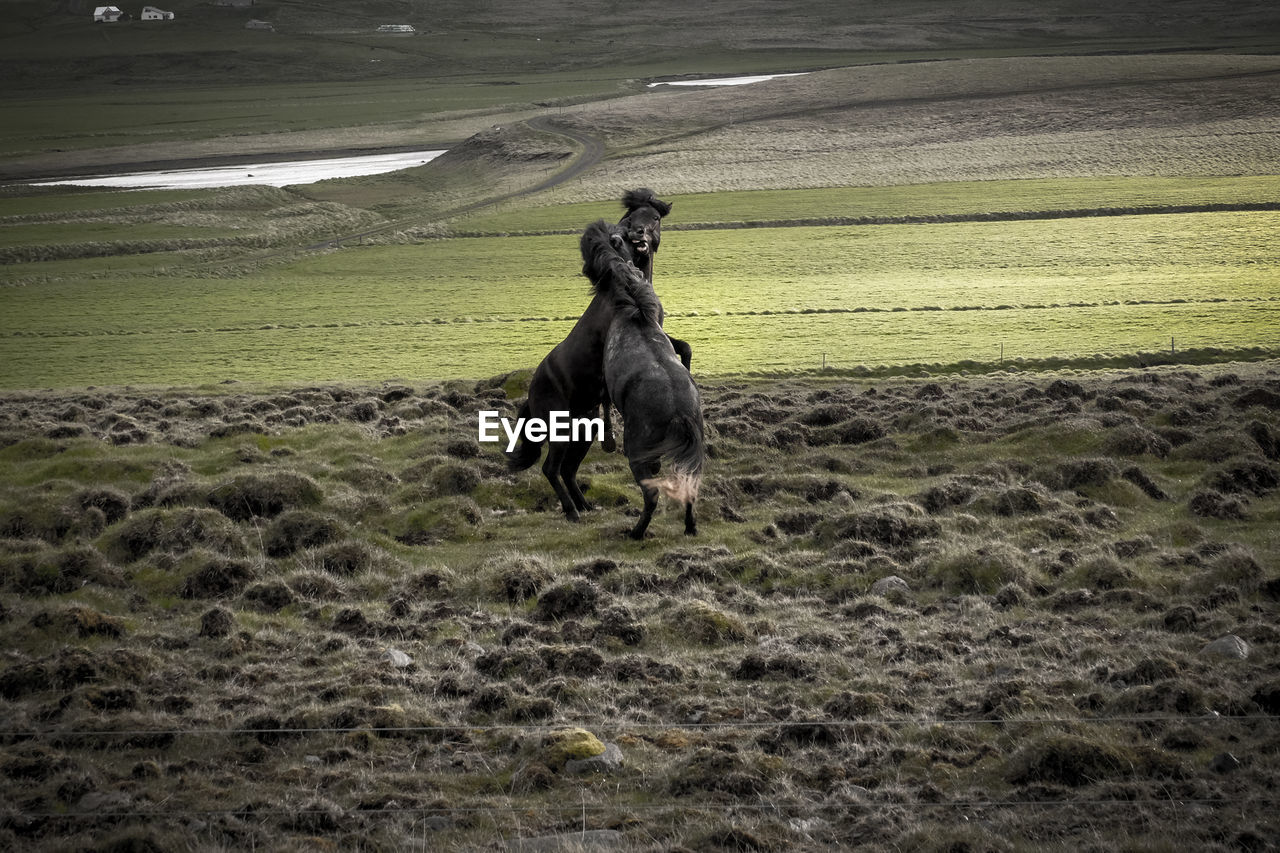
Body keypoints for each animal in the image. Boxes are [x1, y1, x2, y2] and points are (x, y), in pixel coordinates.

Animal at [504, 188, 675, 517]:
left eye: (654, 218)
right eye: (630, 219)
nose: (638, 236)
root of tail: (532, 393)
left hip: (583, 429)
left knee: (568, 469)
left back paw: (585, 505)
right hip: (560, 430)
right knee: (551, 468)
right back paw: (572, 512)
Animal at [583, 220, 706, 537]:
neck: (633, 309)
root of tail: (679, 412)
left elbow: (603, 399)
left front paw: (608, 440)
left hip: (637, 453)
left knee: (651, 495)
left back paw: (637, 531)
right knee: (689, 488)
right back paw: (690, 527)